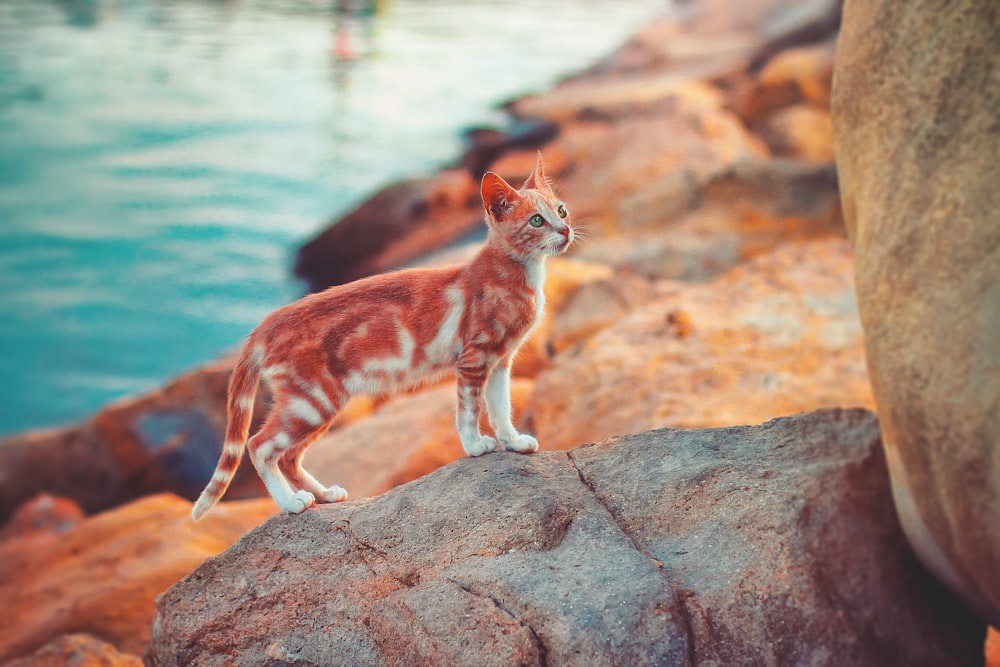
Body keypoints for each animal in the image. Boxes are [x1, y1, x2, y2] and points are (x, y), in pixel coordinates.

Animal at [192, 154, 576, 520]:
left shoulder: (499, 362)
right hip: (313, 400)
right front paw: (474, 446)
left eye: (561, 210)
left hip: (317, 403)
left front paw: (512, 442)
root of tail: (265, 324)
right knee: (260, 446)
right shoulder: (474, 358)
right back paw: (290, 503)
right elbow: (469, 409)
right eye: (536, 221)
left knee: (288, 456)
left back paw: (324, 495)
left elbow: (500, 408)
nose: (566, 230)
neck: (516, 274)